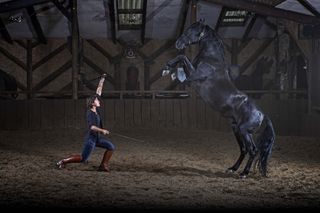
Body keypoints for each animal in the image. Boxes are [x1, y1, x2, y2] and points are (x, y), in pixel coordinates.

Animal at [164, 18, 276, 178]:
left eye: (190, 31)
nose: (177, 43)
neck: (212, 60)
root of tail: (262, 114)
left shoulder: (192, 77)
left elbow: (182, 58)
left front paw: (168, 68)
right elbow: (181, 62)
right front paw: (170, 71)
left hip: (244, 131)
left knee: (252, 150)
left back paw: (244, 173)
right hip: (237, 129)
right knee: (244, 150)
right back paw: (233, 169)